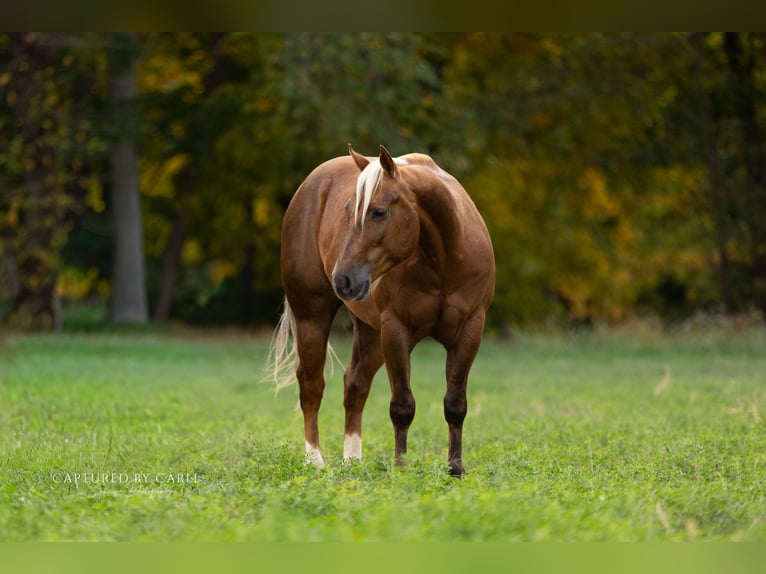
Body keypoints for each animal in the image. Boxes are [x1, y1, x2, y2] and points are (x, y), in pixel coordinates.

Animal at [270, 144, 495, 477]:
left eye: (379, 211)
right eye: (348, 212)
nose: (343, 278)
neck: (442, 262)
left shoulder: (470, 330)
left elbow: (455, 404)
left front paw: (455, 469)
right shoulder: (396, 331)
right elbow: (402, 406)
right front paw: (400, 469)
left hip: (371, 333)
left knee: (355, 385)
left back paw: (352, 460)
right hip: (312, 315)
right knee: (311, 386)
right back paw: (315, 461)